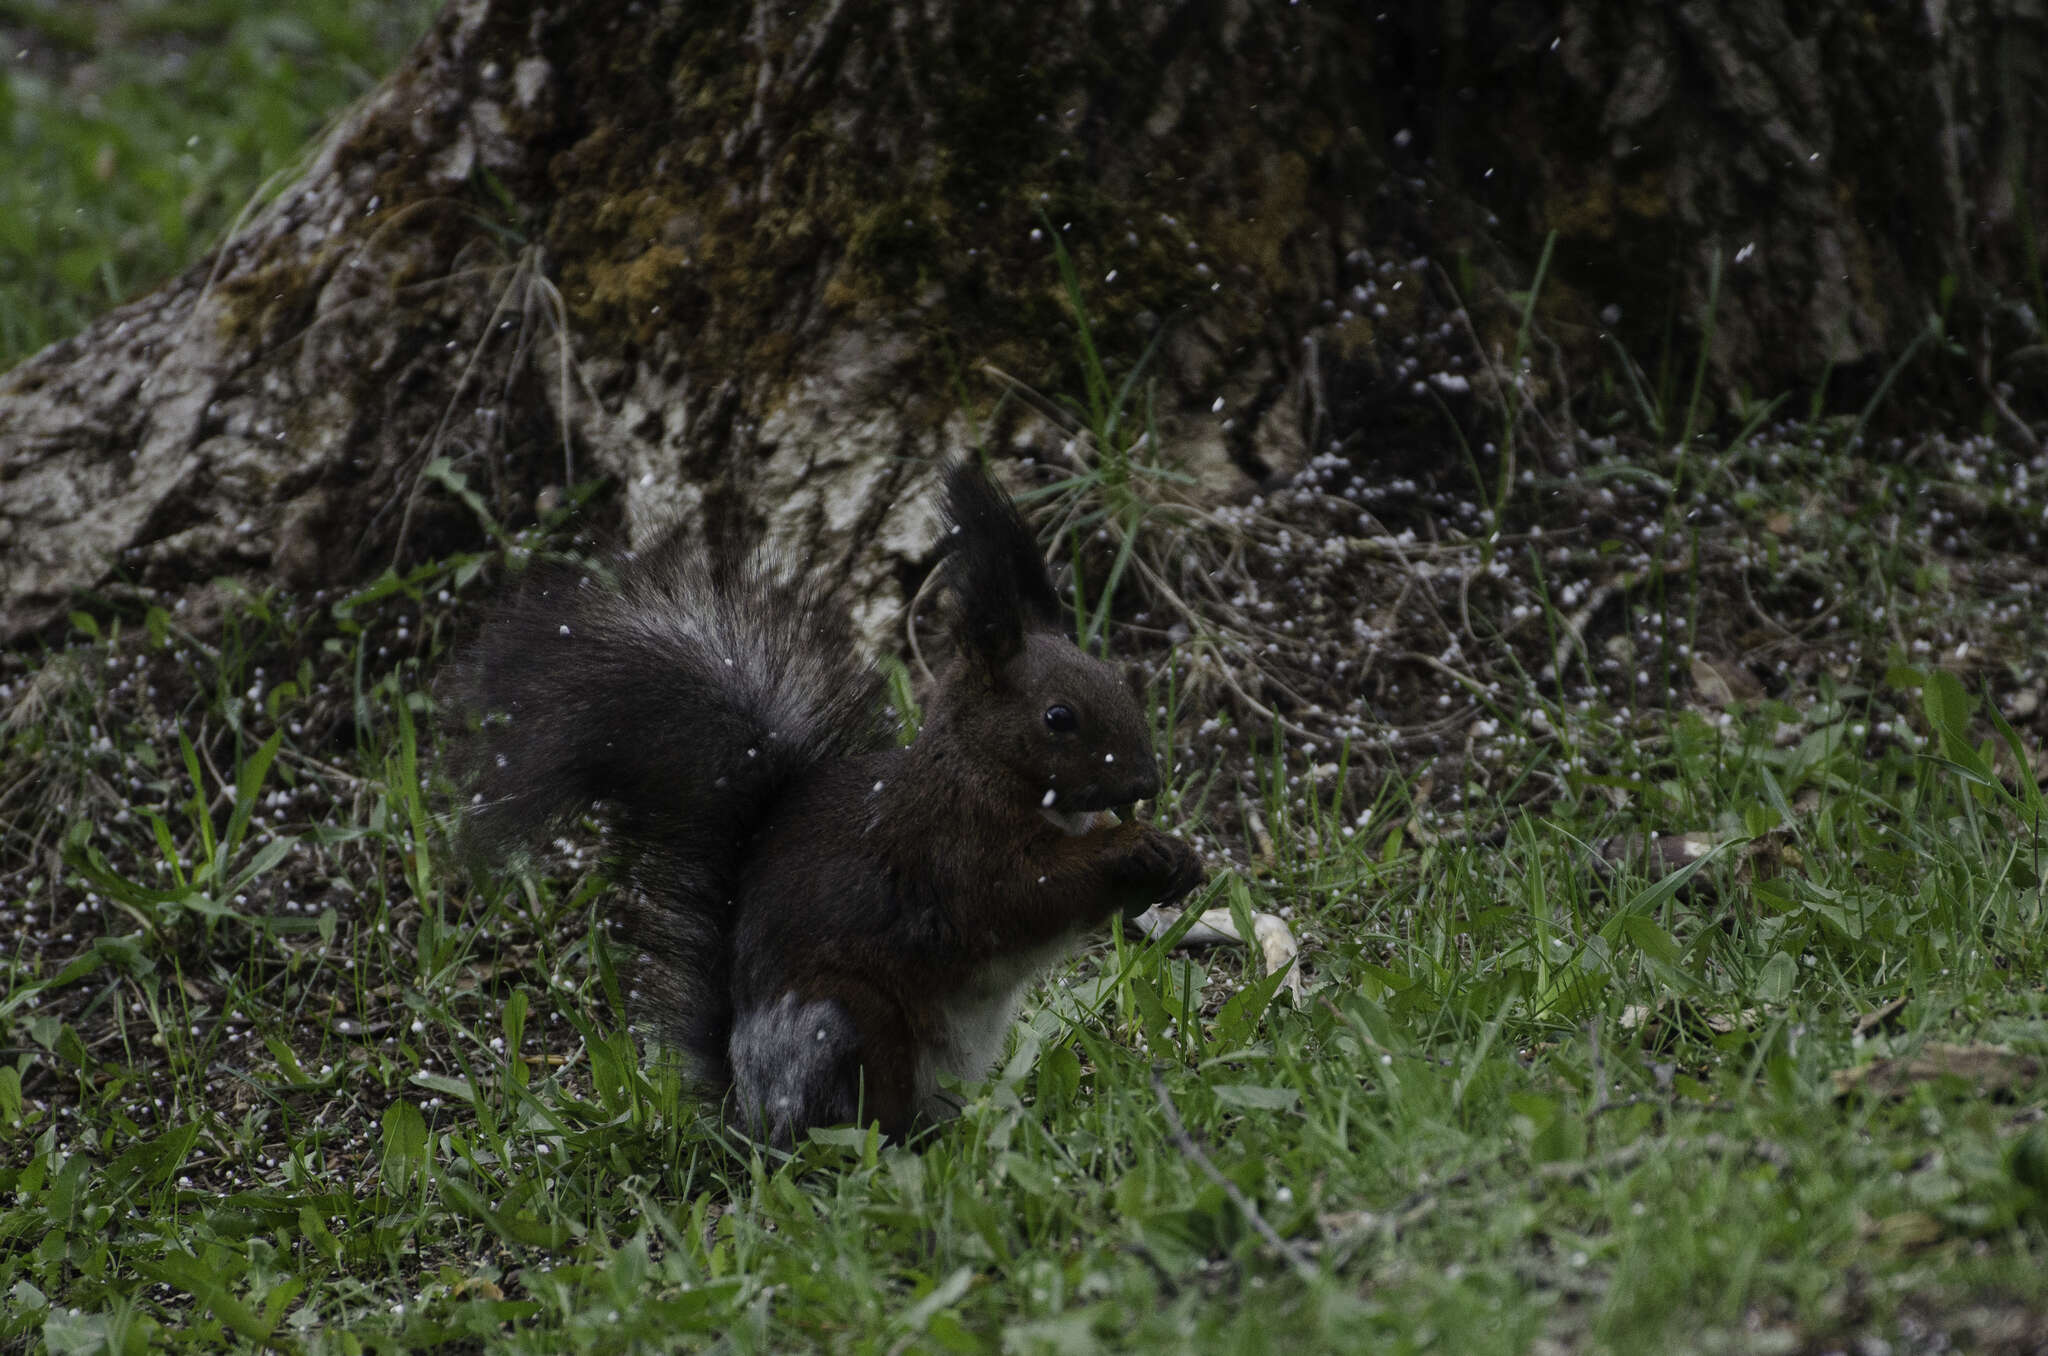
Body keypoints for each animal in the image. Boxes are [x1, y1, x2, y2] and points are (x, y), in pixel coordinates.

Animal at [452, 458, 1196, 1147]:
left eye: (1116, 679)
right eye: (1058, 717)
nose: (1147, 782)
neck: (987, 771)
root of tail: (743, 1103)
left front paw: (1177, 860)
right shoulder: (953, 849)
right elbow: (1028, 892)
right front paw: (1130, 847)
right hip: (845, 1024)